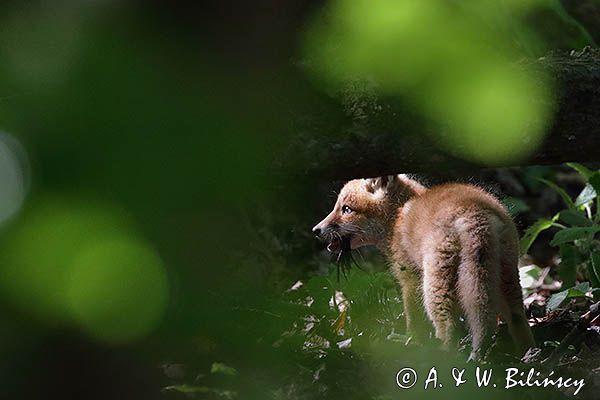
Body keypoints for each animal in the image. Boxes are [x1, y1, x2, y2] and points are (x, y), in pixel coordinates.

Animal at [314, 174, 536, 360]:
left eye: (346, 209)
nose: (316, 230)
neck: (397, 216)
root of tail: (474, 213)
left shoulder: (409, 278)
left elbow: (413, 318)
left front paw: (411, 340)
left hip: (435, 286)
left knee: (449, 326)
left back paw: (443, 355)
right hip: (506, 275)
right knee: (516, 317)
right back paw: (526, 354)